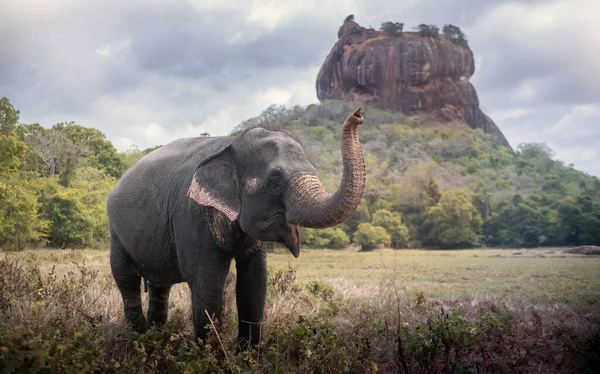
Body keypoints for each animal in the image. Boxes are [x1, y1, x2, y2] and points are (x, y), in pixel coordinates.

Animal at [107, 108, 366, 350]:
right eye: (275, 181)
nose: (358, 114)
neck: (231, 143)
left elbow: (254, 281)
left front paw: (248, 356)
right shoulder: (191, 215)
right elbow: (207, 281)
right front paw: (210, 356)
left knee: (160, 288)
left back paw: (154, 340)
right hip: (116, 233)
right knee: (127, 282)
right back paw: (138, 340)